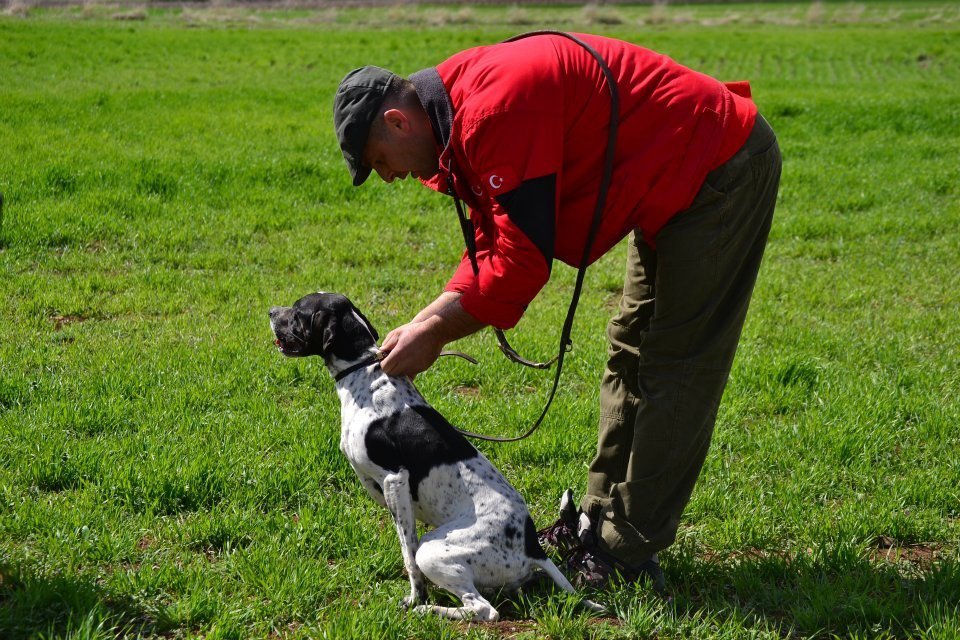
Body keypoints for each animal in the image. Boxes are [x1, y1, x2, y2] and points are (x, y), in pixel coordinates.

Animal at [270, 294, 600, 620]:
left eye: (298, 312)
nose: (272, 311)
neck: (363, 375)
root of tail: (533, 546)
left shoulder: (394, 481)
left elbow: (407, 552)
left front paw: (416, 597)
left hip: (433, 550)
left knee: (483, 610)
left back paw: (427, 609)